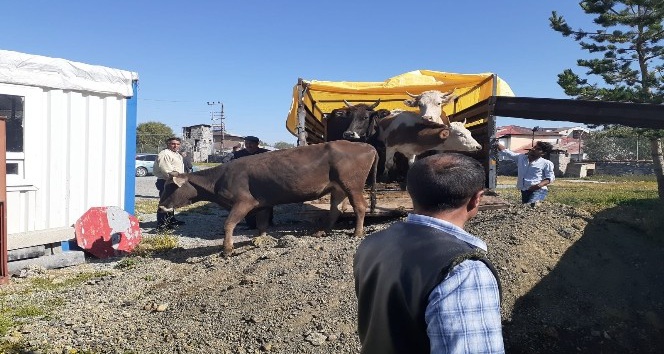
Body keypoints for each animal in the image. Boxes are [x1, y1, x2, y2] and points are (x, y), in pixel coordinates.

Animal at [157, 140, 378, 256]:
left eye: (170, 187)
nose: (161, 207)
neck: (220, 178)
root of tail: (366, 145)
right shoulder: (262, 203)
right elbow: (262, 223)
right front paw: (260, 239)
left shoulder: (243, 202)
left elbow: (228, 224)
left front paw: (227, 249)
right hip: (338, 188)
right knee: (336, 210)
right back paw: (323, 231)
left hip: (352, 185)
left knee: (360, 206)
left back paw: (357, 232)